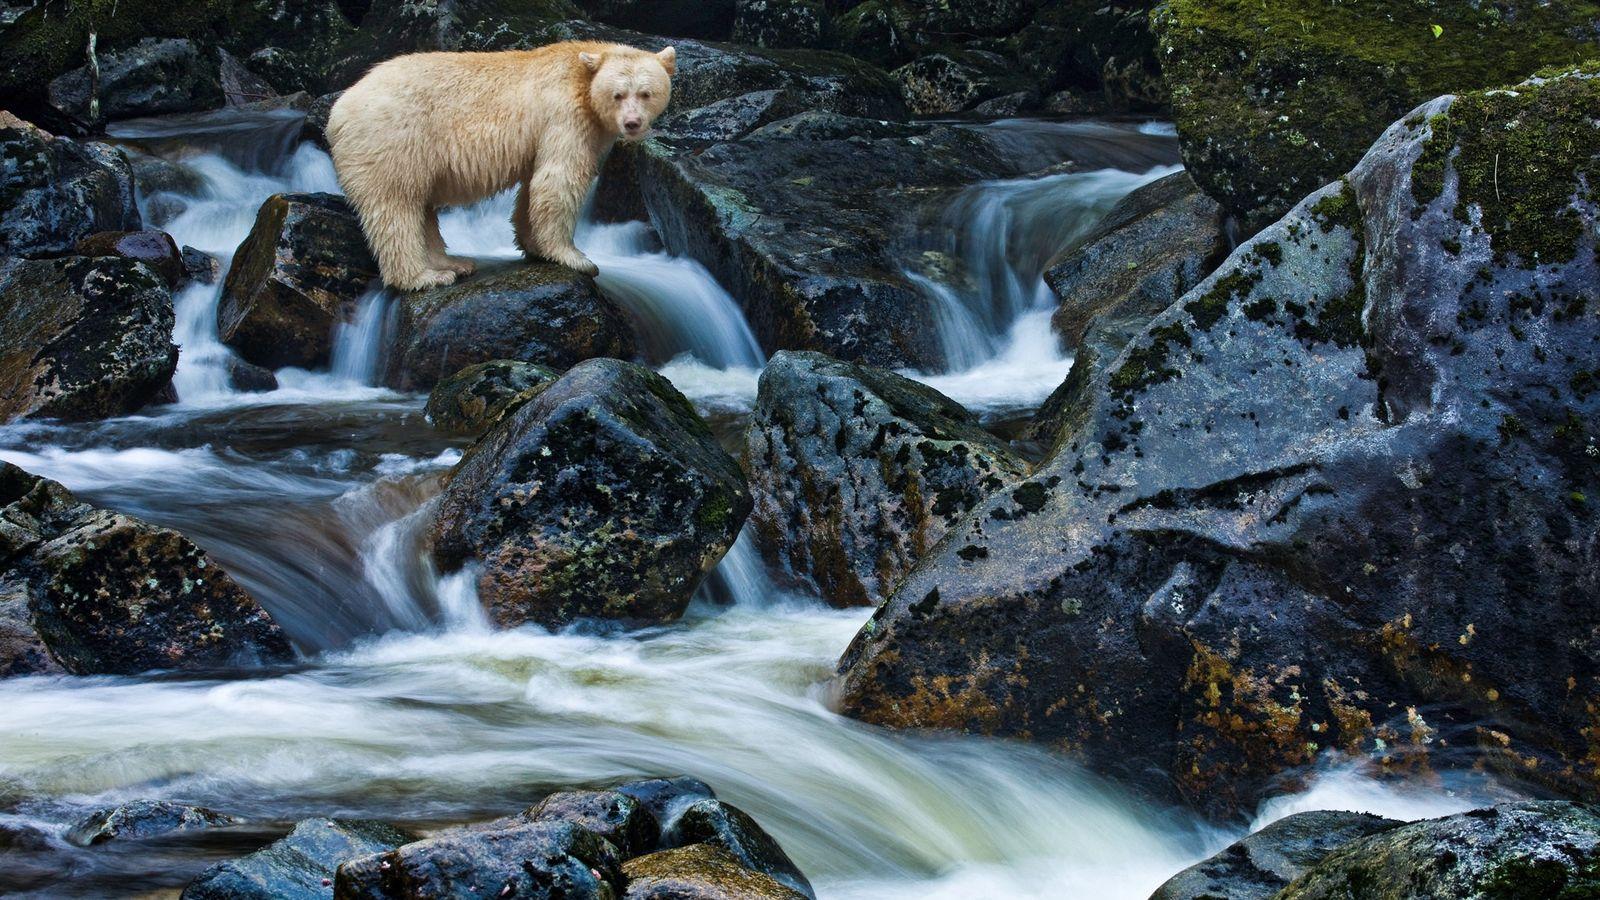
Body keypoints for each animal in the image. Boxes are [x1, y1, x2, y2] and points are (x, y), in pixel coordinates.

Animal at [326, 41, 675, 291]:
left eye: (646, 93)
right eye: (618, 94)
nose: (632, 123)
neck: (581, 74)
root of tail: (338, 112)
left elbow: (533, 185)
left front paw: (534, 245)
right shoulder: (566, 116)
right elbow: (559, 179)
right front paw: (576, 258)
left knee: (421, 205)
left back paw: (451, 263)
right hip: (393, 138)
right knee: (397, 204)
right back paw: (423, 277)